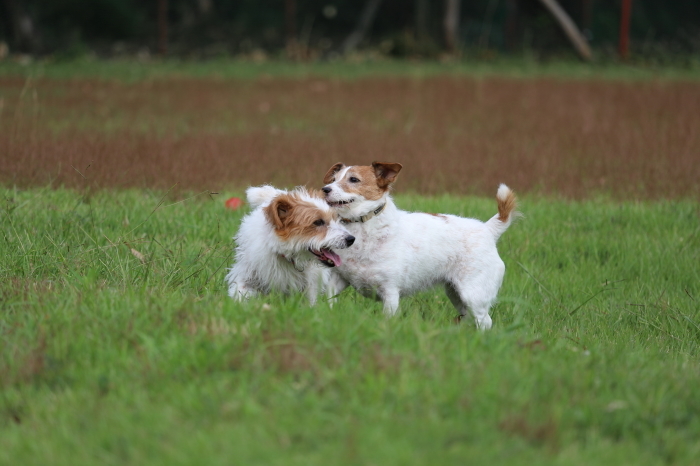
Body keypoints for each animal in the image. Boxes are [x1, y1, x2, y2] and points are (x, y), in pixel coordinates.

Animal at [226, 186, 356, 306]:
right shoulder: (247, 276)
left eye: (336, 219)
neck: (289, 258)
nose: (351, 239)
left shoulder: (310, 287)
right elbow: (240, 293)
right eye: (318, 222)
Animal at [320, 162, 516, 330]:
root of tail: (487, 229)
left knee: (485, 321)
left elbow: (389, 316)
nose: (325, 189)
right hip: (455, 293)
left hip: (473, 294)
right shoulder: (337, 280)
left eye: (353, 179)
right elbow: (330, 301)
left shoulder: (390, 292)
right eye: (333, 179)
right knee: (469, 317)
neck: (361, 228)